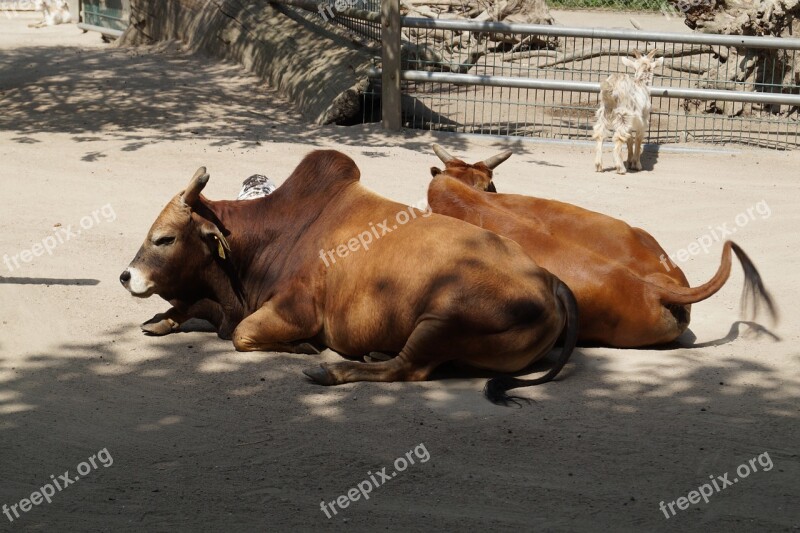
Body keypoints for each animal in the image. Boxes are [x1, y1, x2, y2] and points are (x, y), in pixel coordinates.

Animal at [119, 150, 580, 404]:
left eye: (165, 238)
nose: (126, 276)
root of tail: (548, 280)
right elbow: (196, 309)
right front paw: (162, 319)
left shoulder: (294, 311)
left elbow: (240, 334)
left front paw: (304, 348)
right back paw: (373, 354)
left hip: (442, 319)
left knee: (409, 369)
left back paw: (334, 371)